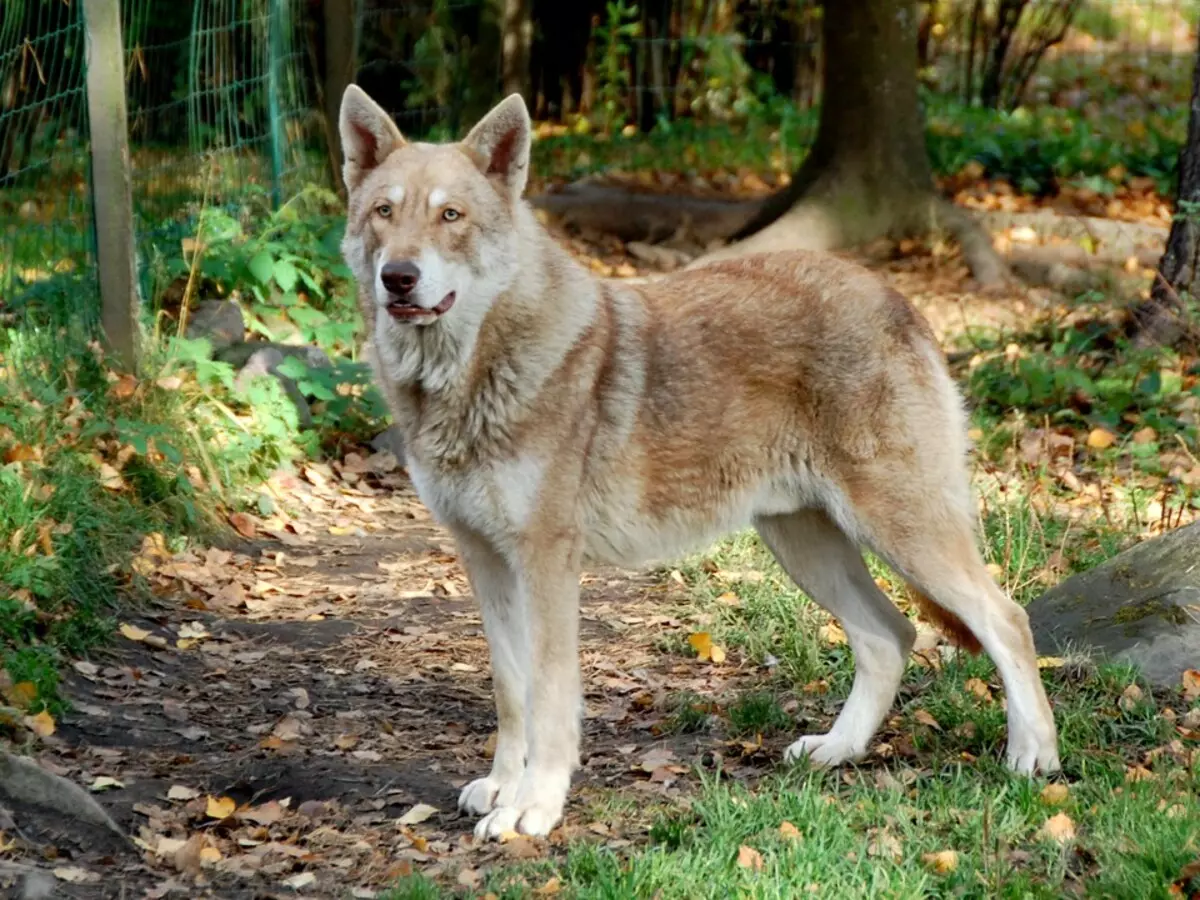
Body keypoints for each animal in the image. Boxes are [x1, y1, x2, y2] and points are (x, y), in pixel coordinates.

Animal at [338, 88, 1060, 844]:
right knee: (891, 636)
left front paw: (533, 807)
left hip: (900, 534)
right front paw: (502, 788)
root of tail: (895, 297)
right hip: (806, 545)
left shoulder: (547, 566)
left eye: (451, 216)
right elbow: (512, 694)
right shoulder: (484, 561)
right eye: (384, 212)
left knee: (1006, 618)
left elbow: (550, 698)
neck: (466, 374)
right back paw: (837, 750)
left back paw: (1032, 758)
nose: (398, 278)